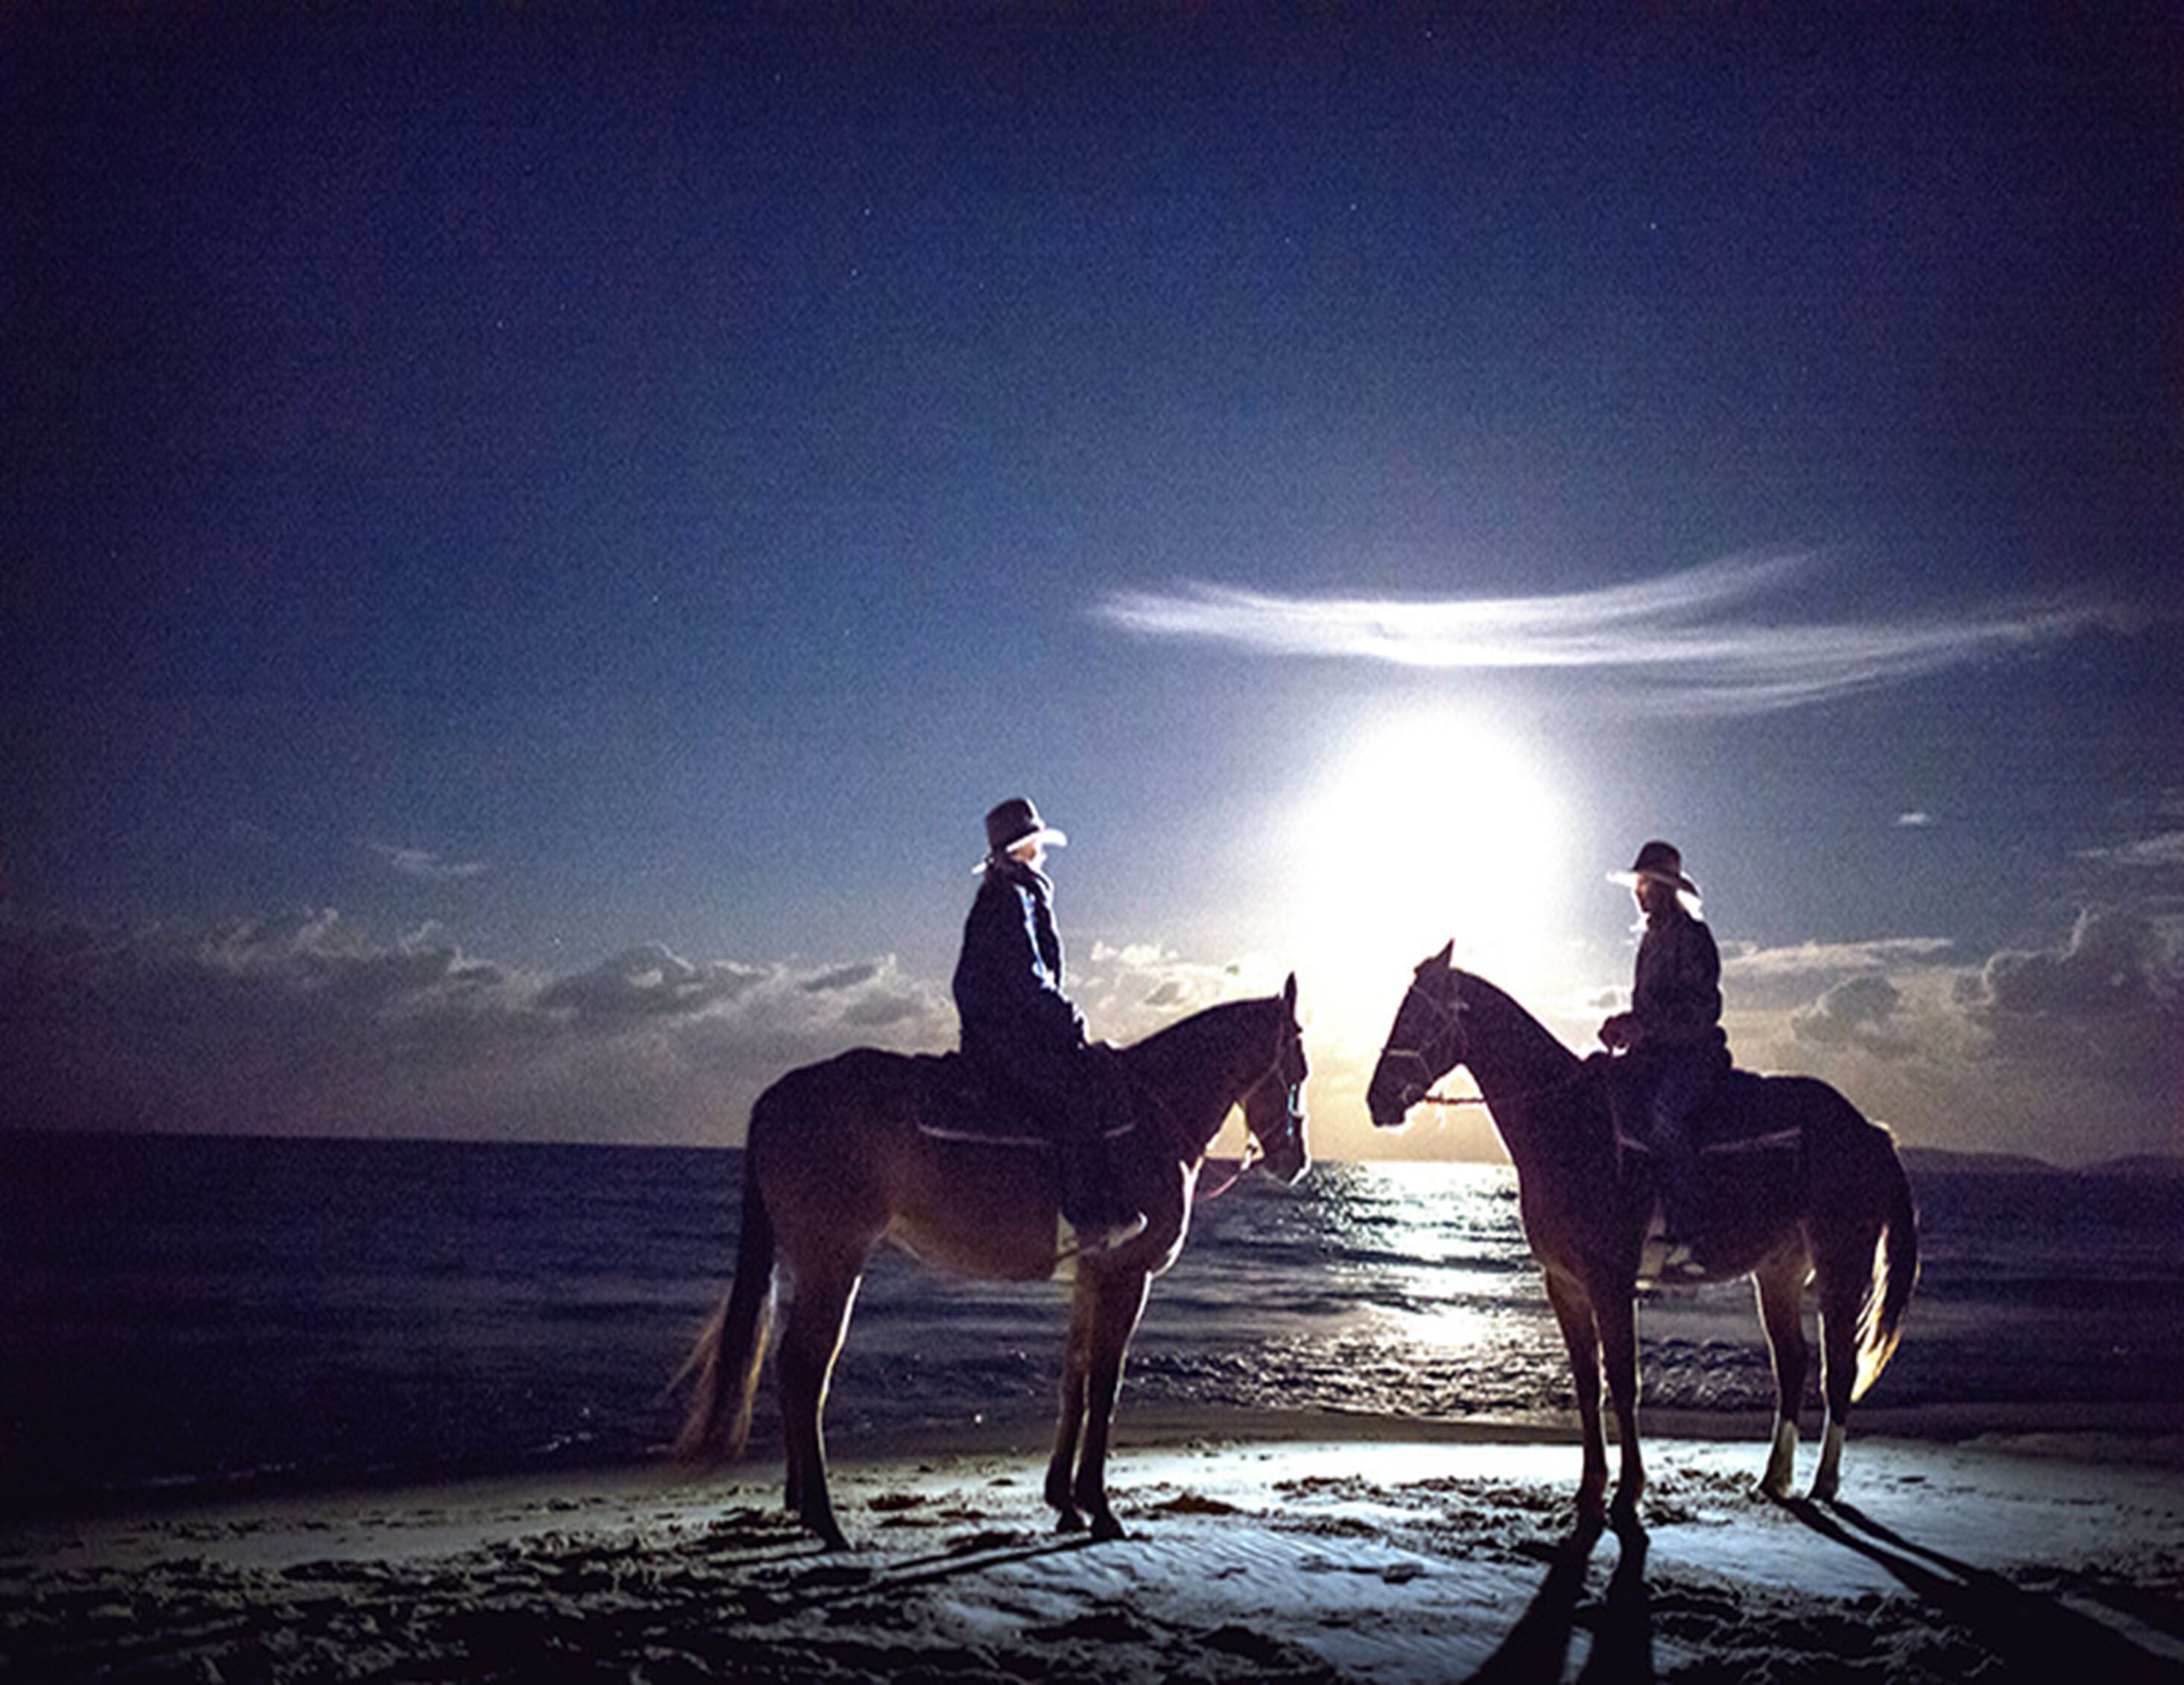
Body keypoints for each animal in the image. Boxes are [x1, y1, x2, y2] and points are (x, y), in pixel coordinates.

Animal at [676, 976, 1309, 1548]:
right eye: (1298, 1069)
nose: (1295, 1160)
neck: (1153, 1116)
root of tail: (776, 1095)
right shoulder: (1125, 1277)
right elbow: (1104, 1386)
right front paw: (1098, 1506)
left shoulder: (1089, 1279)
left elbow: (1075, 1379)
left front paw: (1064, 1500)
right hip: (833, 1259)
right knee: (806, 1370)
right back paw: (826, 1520)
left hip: (811, 1263)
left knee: (792, 1368)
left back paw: (802, 1502)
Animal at [1366, 944, 1917, 1527]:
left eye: (1418, 1015)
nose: (1377, 1101)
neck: (1567, 1122)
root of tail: (1870, 1132)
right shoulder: (1564, 1284)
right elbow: (1588, 1384)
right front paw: (1590, 1487)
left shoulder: (1611, 1281)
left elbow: (1623, 1380)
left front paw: (1628, 1490)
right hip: (1779, 1272)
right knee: (1792, 1364)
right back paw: (1774, 1478)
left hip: (1841, 1265)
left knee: (1840, 1369)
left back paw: (1824, 1483)